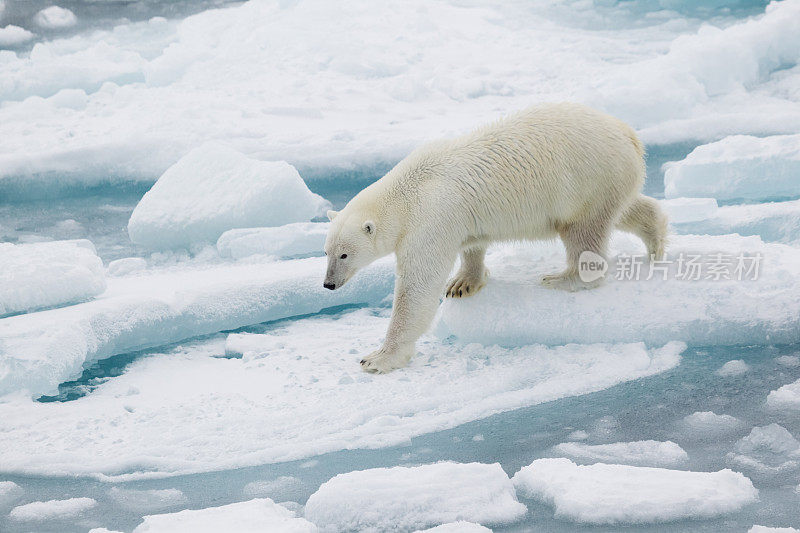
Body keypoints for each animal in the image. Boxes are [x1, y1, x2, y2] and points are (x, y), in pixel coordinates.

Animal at [322, 102, 664, 372]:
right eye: (326, 252)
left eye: (344, 254)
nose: (328, 284)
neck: (405, 193)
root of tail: (629, 133)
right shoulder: (457, 217)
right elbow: (472, 244)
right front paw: (462, 284)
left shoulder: (429, 219)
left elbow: (418, 286)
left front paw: (377, 358)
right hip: (609, 182)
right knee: (625, 209)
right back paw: (656, 241)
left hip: (588, 180)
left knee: (583, 232)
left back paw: (561, 278)